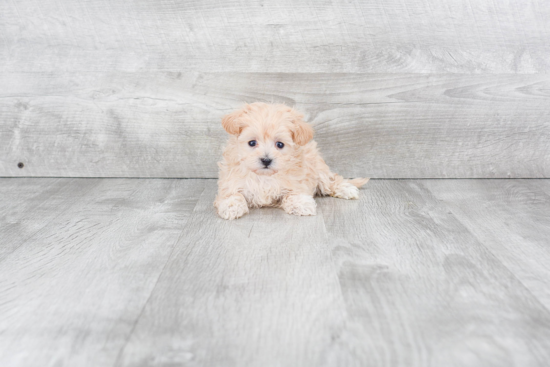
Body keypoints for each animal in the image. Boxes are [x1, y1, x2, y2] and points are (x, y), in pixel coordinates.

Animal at [216, 102, 370, 220]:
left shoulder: (297, 181)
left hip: (318, 168)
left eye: (280, 145)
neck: (264, 177)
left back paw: (346, 189)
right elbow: (232, 195)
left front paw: (301, 204)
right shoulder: (230, 183)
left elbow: (293, 194)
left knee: (331, 181)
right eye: (252, 143)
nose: (266, 160)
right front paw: (231, 207)